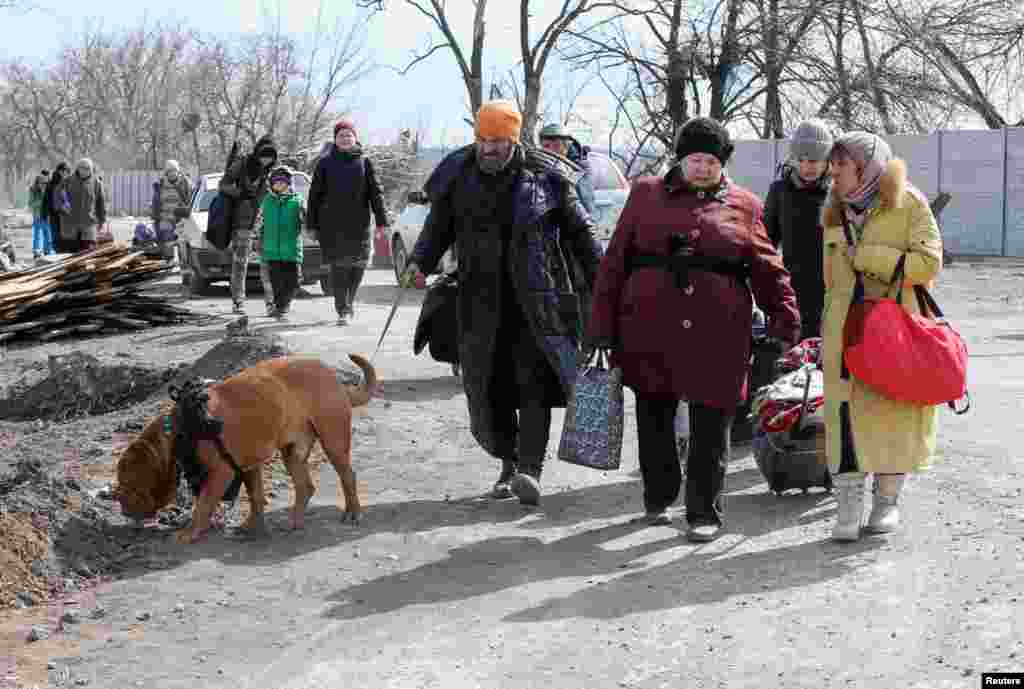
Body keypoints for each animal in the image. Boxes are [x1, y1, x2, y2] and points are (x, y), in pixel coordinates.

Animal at [116, 354, 378, 544]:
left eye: (127, 484)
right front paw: (252, 525)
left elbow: (203, 505)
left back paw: (352, 512)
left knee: (348, 476)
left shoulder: (221, 472)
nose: (122, 509)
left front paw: (191, 532)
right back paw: (295, 520)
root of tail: (334, 378)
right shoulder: (248, 465)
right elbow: (256, 497)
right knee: (305, 486)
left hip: (334, 442)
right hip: (292, 451)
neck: (182, 427)